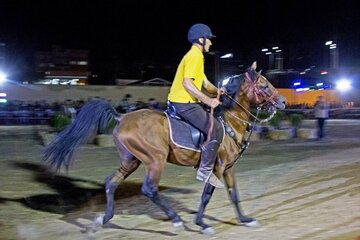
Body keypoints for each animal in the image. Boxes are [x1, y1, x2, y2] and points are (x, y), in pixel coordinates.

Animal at [42, 62, 286, 235]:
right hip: (155, 160)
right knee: (149, 189)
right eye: (264, 85)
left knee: (111, 182)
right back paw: (175, 219)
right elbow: (207, 195)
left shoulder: (228, 168)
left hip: (131, 160)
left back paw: (104, 219)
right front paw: (201, 223)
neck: (229, 122)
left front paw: (245, 220)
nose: (283, 102)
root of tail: (122, 117)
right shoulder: (216, 168)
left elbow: (234, 194)